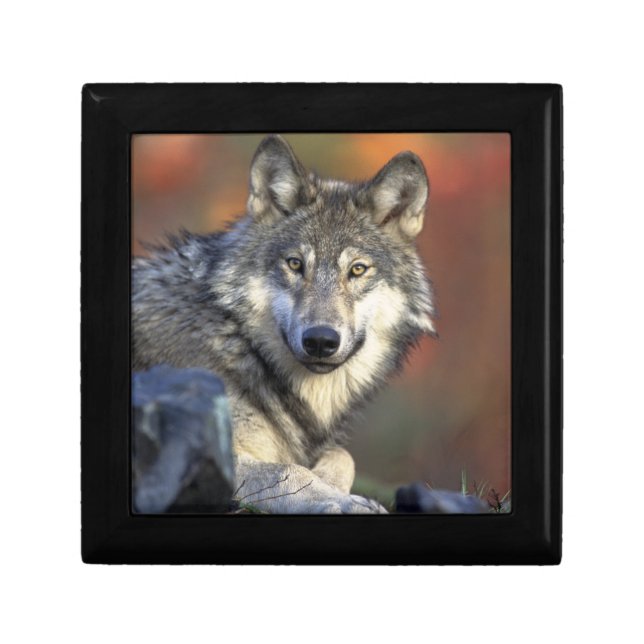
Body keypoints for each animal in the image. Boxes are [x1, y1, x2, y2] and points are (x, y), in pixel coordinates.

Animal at [132, 135, 436, 513]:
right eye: (294, 264)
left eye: (357, 269)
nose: (320, 340)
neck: (239, 343)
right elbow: (290, 471)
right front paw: (344, 501)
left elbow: (342, 456)